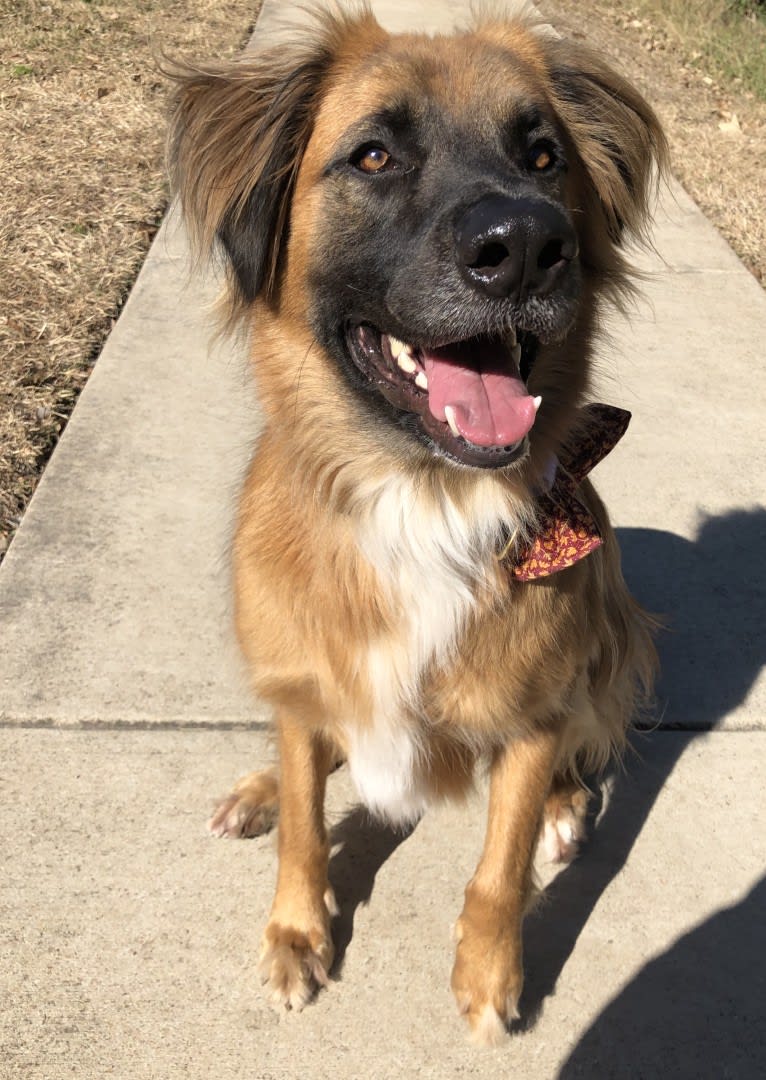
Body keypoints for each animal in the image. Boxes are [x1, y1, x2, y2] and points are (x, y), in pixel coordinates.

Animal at [165, 2, 661, 1045]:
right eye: (374, 155)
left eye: (544, 156)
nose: (527, 245)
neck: (422, 498)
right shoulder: (305, 679)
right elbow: (308, 821)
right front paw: (298, 930)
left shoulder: (533, 715)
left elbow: (498, 870)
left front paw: (490, 978)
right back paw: (260, 788)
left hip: (613, 631)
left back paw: (566, 809)